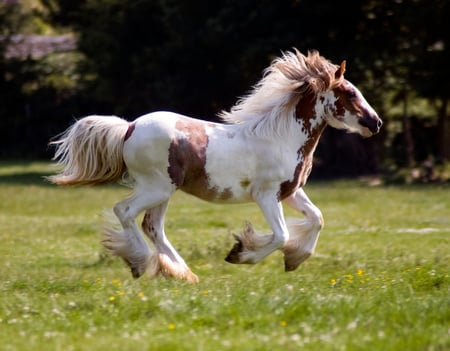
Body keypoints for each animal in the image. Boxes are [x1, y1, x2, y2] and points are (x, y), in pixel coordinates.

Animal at [49, 49, 382, 284]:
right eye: (350, 93)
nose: (375, 123)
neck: (282, 137)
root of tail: (128, 128)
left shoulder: (291, 192)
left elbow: (317, 219)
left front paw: (294, 260)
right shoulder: (266, 195)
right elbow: (281, 235)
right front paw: (240, 253)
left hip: (163, 191)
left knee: (152, 226)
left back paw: (182, 274)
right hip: (156, 187)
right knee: (125, 211)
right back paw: (141, 263)